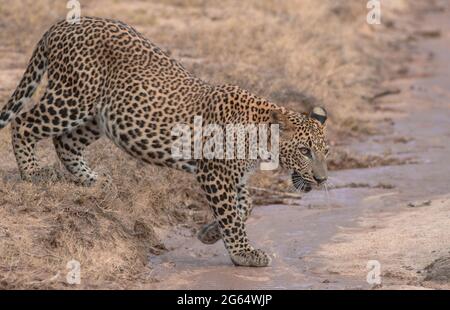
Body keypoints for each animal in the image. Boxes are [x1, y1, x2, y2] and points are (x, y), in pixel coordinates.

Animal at [0, 17, 330, 268]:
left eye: (326, 152)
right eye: (304, 151)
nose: (322, 179)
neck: (260, 134)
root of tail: (62, 25)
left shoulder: (233, 176)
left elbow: (244, 206)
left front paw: (208, 234)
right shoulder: (215, 173)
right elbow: (232, 215)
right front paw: (243, 254)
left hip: (98, 116)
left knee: (65, 142)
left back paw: (94, 180)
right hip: (73, 97)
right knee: (24, 122)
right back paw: (33, 172)